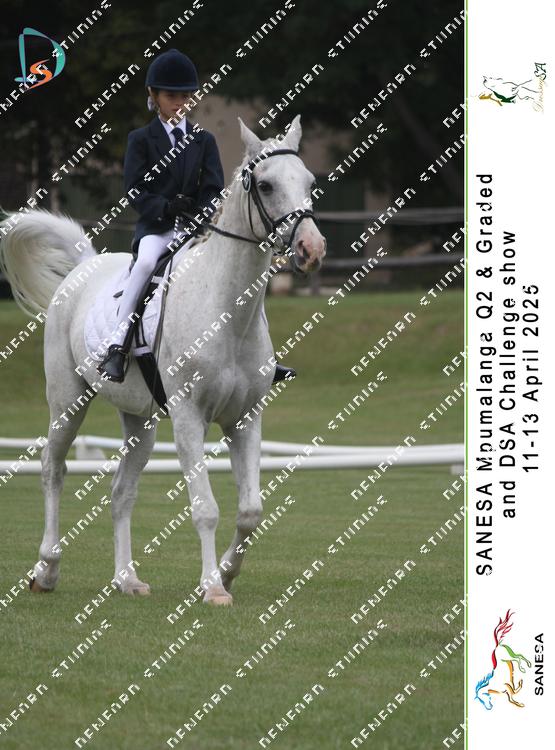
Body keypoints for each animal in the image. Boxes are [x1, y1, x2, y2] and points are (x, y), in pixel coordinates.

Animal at [0, 115, 326, 606]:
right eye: (266, 185)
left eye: (309, 182)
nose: (312, 249)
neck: (228, 313)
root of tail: (83, 268)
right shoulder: (190, 416)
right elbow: (206, 508)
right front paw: (212, 588)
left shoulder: (245, 417)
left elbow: (251, 509)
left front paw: (227, 573)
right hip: (67, 401)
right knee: (53, 469)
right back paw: (47, 570)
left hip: (141, 421)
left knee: (121, 492)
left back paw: (127, 579)